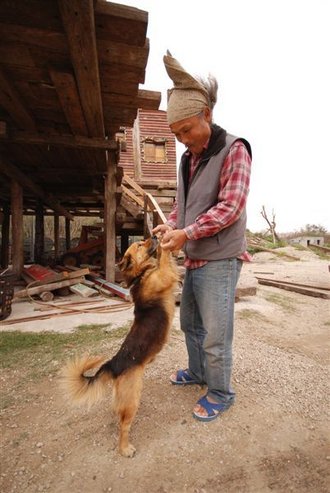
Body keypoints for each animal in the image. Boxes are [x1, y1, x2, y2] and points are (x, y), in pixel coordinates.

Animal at [59, 235, 178, 458]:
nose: (154, 236)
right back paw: (125, 449)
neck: (141, 276)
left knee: (118, 413)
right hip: (133, 397)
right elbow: (165, 259)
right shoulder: (165, 276)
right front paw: (166, 244)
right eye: (140, 244)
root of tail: (112, 364)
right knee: (124, 425)